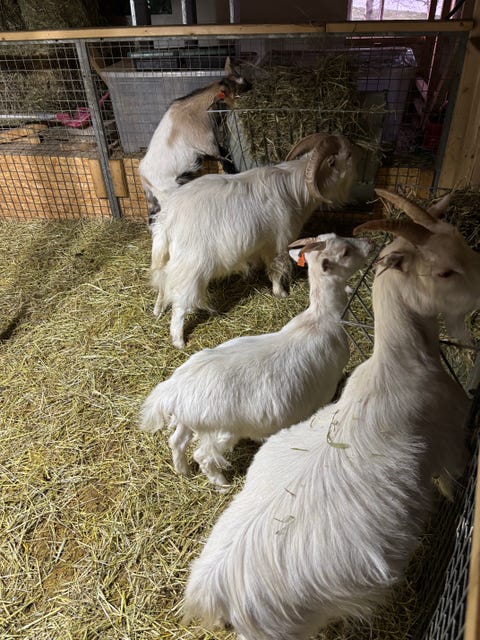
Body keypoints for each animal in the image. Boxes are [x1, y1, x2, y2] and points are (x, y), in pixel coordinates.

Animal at [138, 57, 250, 221]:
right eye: (237, 94)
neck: (195, 111)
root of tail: (143, 176)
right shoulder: (208, 144)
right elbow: (223, 157)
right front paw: (233, 172)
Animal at [139, 233, 373, 487]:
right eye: (345, 252)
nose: (370, 244)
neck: (321, 319)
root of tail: (174, 391)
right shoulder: (324, 392)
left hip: (188, 421)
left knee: (176, 442)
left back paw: (183, 471)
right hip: (220, 430)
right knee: (203, 455)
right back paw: (221, 483)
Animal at [150, 132, 357, 348]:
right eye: (349, 155)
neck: (294, 190)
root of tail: (168, 221)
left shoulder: (263, 245)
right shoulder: (279, 242)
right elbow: (276, 269)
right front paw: (281, 293)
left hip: (169, 261)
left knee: (163, 285)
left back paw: (157, 311)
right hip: (190, 269)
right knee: (179, 305)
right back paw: (179, 341)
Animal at [181, 188, 480, 640]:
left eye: (464, 244)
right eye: (444, 272)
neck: (401, 362)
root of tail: (213, 589)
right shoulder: (449, 447)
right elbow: (452, 479)